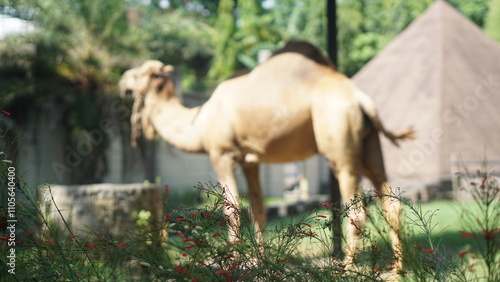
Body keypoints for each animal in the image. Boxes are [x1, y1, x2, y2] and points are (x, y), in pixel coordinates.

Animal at [120, 41, 414, 276]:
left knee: (357, 209)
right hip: (370, 145)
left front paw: (233, 263)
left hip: (340, 144)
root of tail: (361, 99)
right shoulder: (250, 160)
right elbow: (258, 209)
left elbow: (231, 210)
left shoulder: (222, 153)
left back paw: (348, 268)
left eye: (141, 73)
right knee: (391, 203)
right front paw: (260, 261)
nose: (122, 79)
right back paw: (397, 270)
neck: (200, 123)